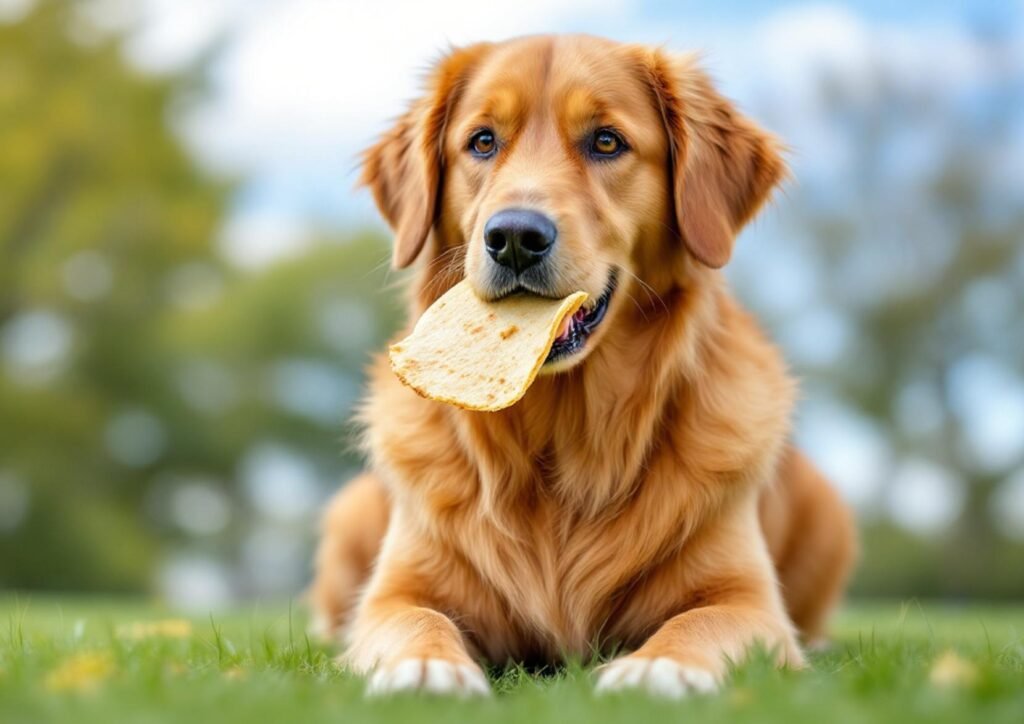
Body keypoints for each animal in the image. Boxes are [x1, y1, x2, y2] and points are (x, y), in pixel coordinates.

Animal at [311, 34, 856, 696]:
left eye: (606, 142)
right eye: (482, 141)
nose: (515, 237)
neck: (561, 438)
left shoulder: (747, 601)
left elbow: (696, 624)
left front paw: (658, 667)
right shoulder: (396, 592)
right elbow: (416, 620)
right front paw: (425, 669)